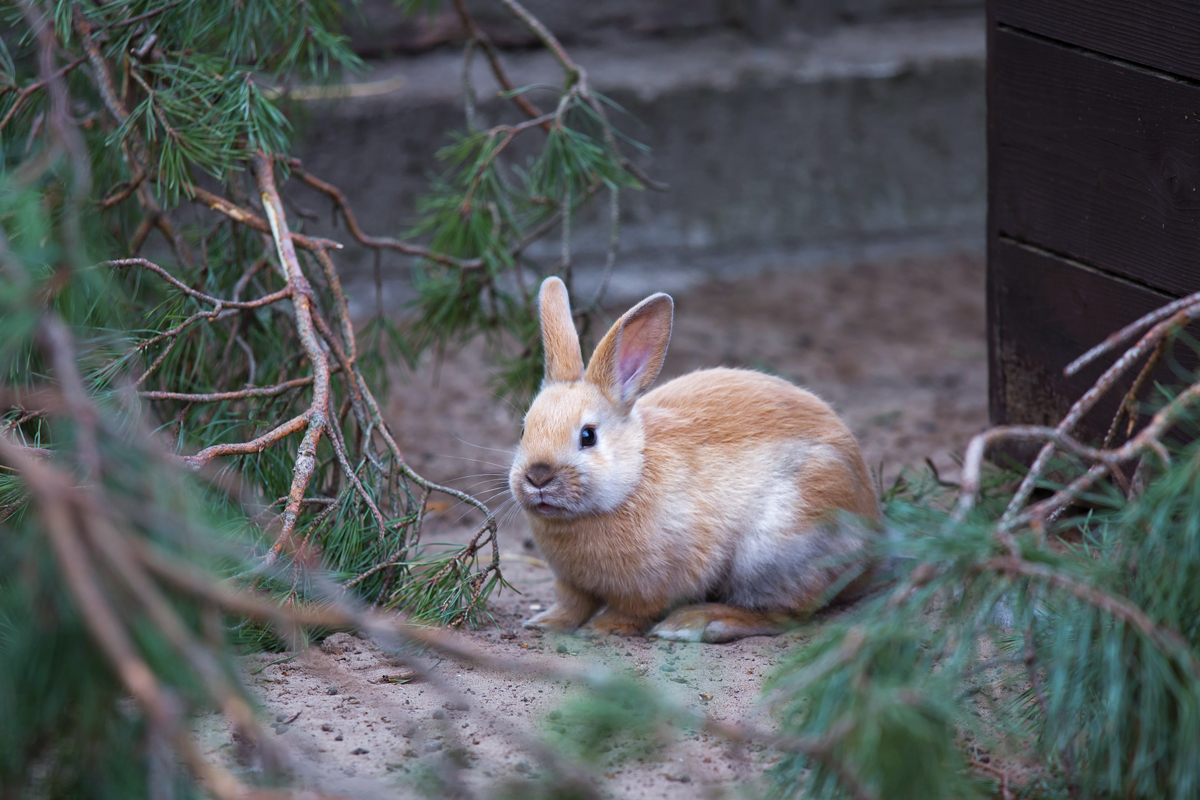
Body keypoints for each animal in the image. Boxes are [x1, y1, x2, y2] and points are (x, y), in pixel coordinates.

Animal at [506, 275, 883, 642]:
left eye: (588, 436)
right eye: (523, 430)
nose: (538, 476)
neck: (634, 475)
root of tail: (871, 542)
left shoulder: (656, 581)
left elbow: (633, 611)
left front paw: (603, 628)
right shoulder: (571, 583)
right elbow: (572, 604)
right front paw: (545, 623)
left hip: (777, 549)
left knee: (785, 613)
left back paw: (696, 623)